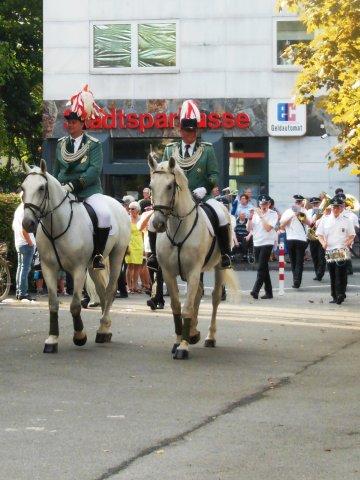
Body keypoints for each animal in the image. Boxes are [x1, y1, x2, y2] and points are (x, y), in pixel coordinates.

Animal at [21, 161, 131, 352]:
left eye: (42, 188)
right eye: (22, 187)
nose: (27, 223)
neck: (57, 226)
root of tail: (117, 204)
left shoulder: (78, 270)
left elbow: (74, 305)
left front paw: (80, 336)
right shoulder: (48, 269)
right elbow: (53, 304)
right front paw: (52, 339)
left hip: (116, 255)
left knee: (110, 290)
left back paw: (103, 328)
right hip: (93, 265)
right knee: (101, 290)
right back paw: (104, 329)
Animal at [148, 154, 238, 360]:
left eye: (170, 186)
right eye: (151, 185)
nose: (158, 224)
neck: (178, 226)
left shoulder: (193, 271)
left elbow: (188, 307)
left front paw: (183, 346)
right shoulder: (168, 272)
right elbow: (176, 306)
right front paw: (178, 340)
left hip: (218, 267)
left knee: (214, 298)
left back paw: (209, 337)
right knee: (198, 294)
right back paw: (193, 333)